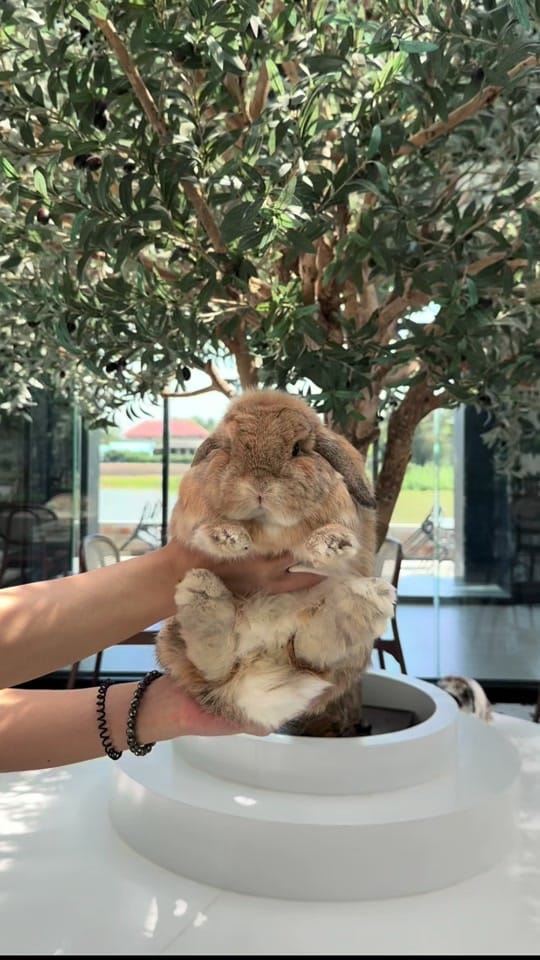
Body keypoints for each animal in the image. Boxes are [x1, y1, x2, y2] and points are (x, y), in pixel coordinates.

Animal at [155, 388, 395, 733]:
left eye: (297, 449)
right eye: (229, 448)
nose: (259, 486)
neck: (267, 527)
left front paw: (332, 542)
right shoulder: (190, 520)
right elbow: (203, 528)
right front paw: (226, 536)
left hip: (351, 656)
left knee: (310, 655)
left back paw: (363, 602)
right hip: (171, 636)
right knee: (213, 667)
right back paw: (203, 595)